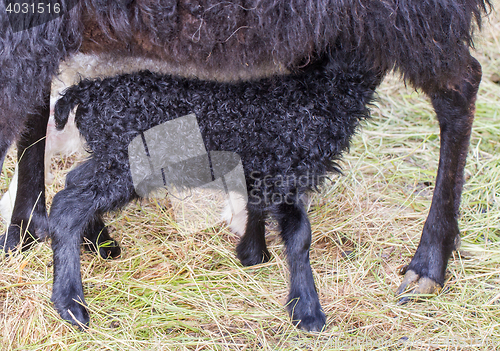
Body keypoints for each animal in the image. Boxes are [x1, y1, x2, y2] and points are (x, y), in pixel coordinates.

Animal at [0, 0, 492, 330]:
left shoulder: (269, 165)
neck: (316, 95)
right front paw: (307, 309)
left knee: (459, 87)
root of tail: (83, 95)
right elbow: (299, 234)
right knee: (71, 195)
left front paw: (253, 256)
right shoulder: (287, 169)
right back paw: (71, 298)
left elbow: (264, 211)